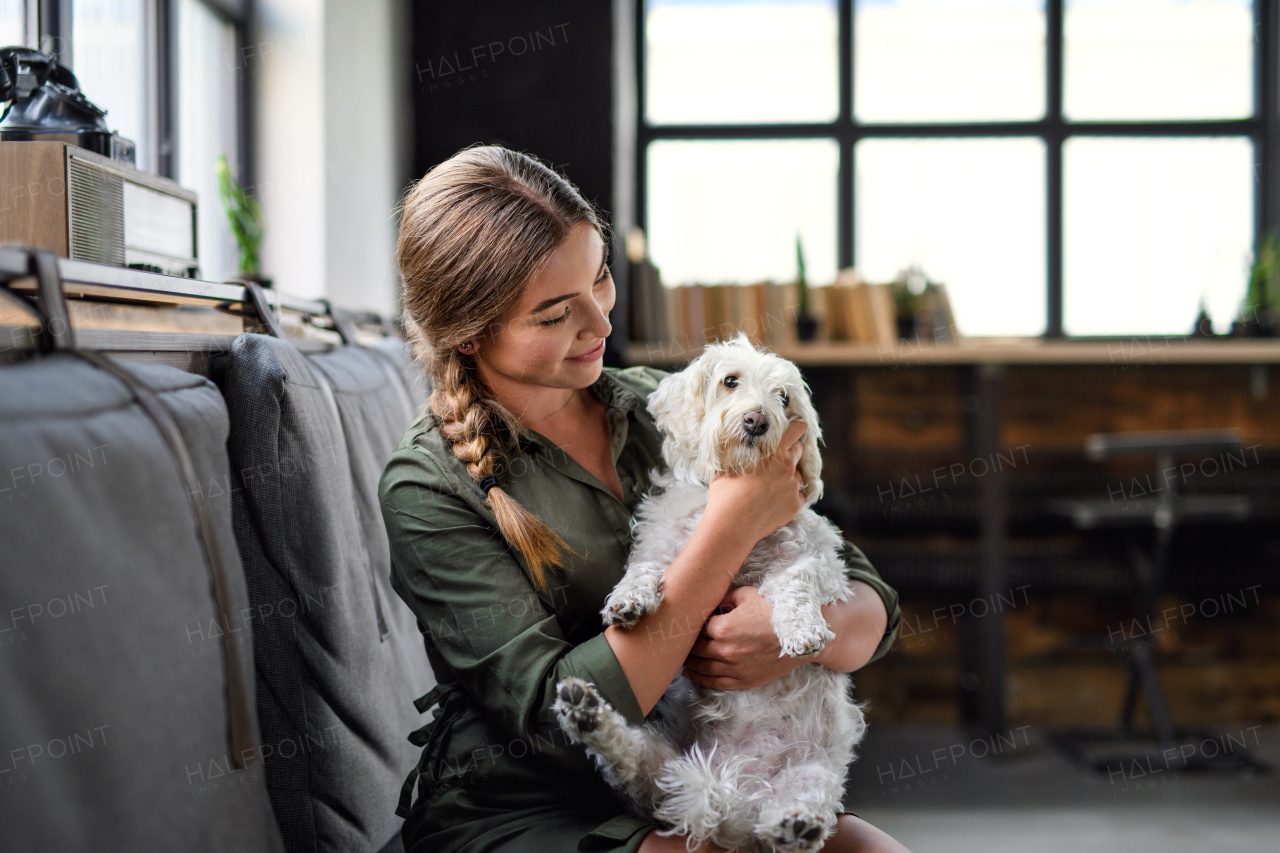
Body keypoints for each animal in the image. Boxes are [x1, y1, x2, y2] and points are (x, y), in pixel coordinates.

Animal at [555, 333, 865, 850]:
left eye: (783, 398)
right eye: (730, 381)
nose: (757, 420)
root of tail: (732, 796)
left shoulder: (816, 560)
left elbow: (794, 583)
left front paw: (802, 631)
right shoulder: (663, 548)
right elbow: (644, 569)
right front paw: (628, 602)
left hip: (814, 774)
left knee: (797, 809)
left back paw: (797, 824)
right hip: (663, 767)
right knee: (629, 759)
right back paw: (587, 714)